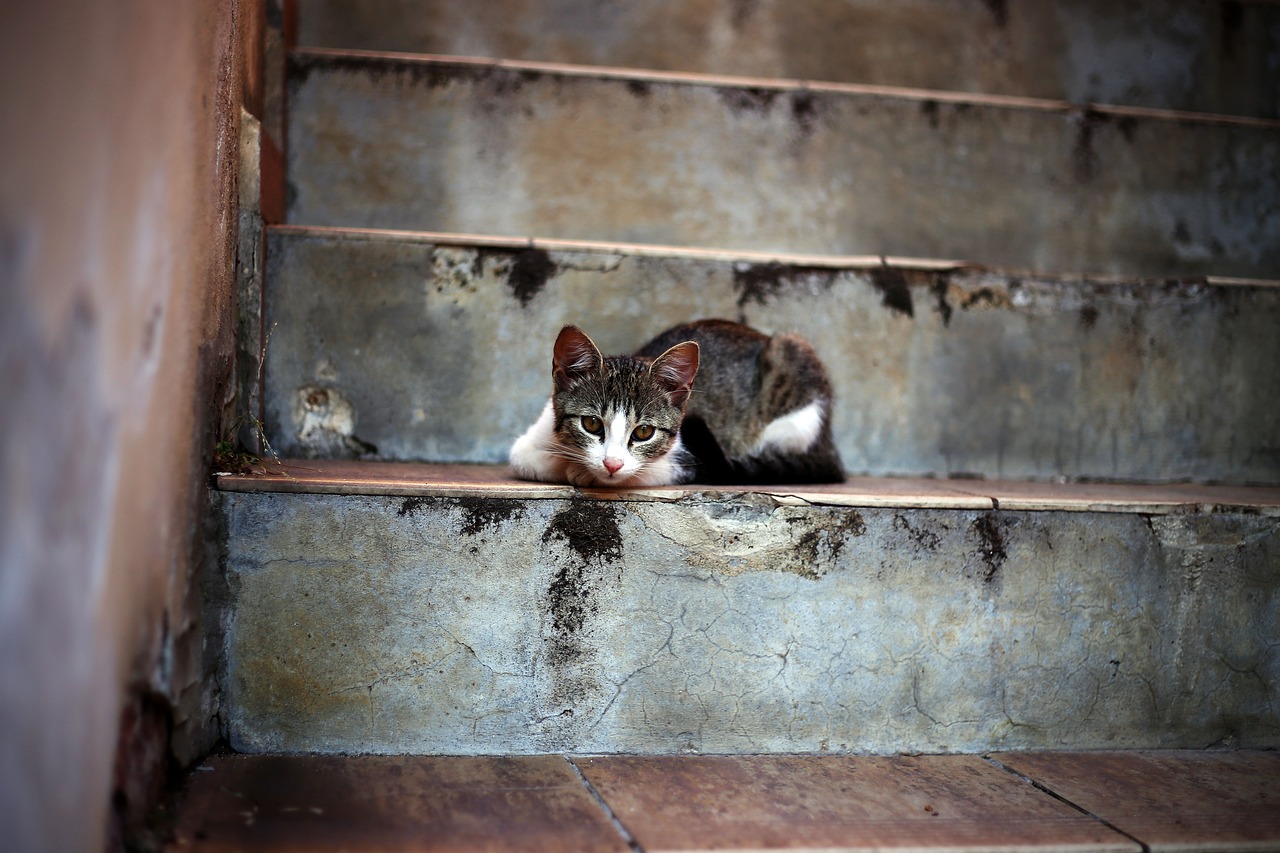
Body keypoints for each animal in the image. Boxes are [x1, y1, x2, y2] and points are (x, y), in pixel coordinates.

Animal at [504, 317, 844, 484]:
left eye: (644, 432)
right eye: (591, 424)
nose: (612, 464)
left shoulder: (694, 458)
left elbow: (646, 473)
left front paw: (584, 472)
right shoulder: (529, 441)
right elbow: (523, 457)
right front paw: (570, 465)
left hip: (793, 370)